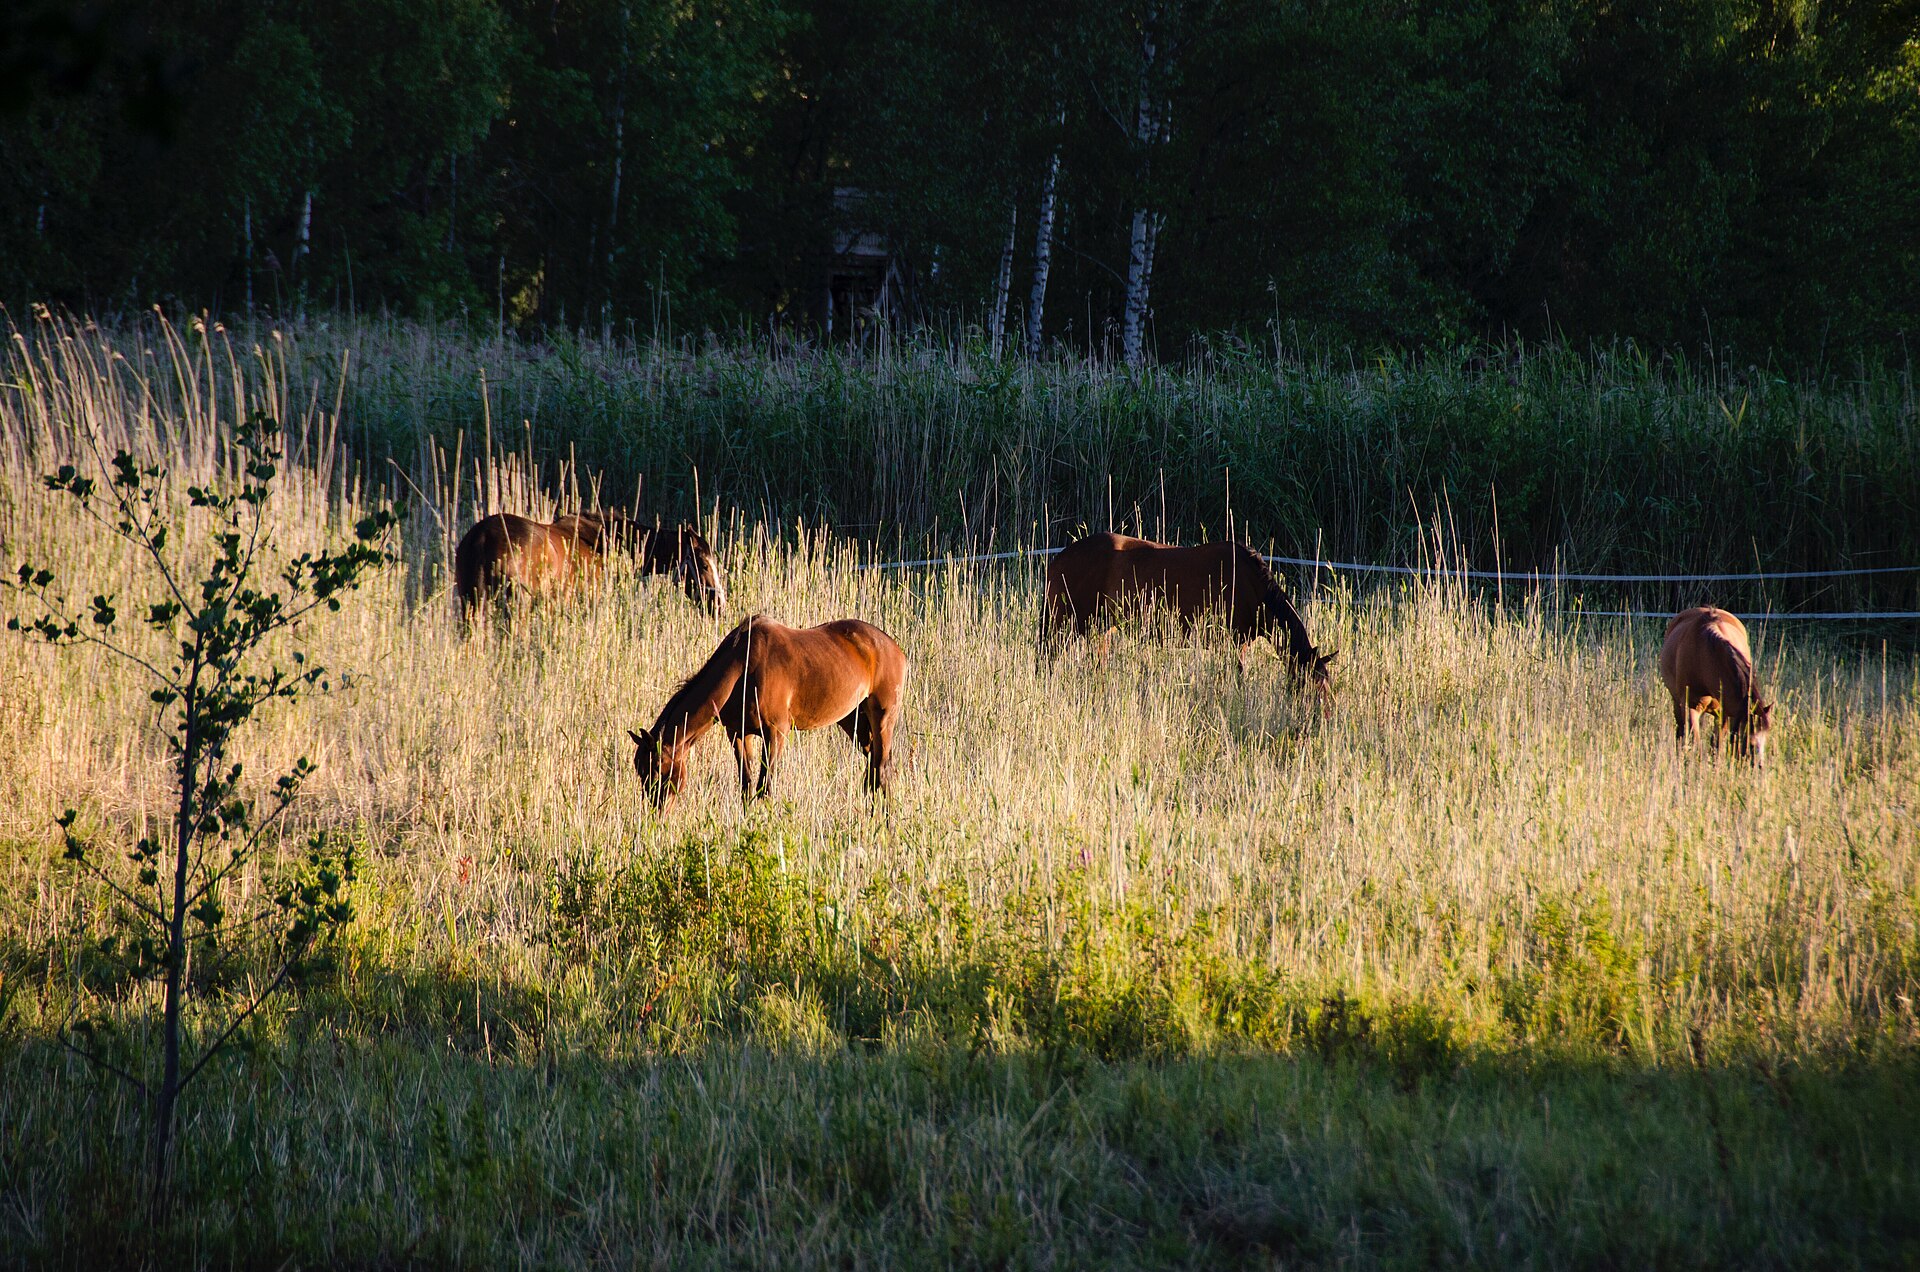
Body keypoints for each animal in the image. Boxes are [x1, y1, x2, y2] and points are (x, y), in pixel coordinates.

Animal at [628, 615, 908, 808]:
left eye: (659, 767)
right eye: (640, 771)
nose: (657, 810)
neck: (743, 667)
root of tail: (894, 647)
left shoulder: (776, 733)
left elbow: (766, 787)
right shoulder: (738, 733)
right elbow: (747, 785)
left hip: (882, 717)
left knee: (882, 770)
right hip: (854, 722)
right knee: (875, 770)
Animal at [1040, 532, 1338, 707]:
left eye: (1327, 684)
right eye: (1313, 687)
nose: (1322, 720)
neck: (1250, 583)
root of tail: (1060, 558)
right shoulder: (1232, 645)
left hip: (1099, 628)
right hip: (1065, 622)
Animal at [1658, 606, 1774, 765]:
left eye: (1766, 740)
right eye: (1749, 742)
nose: (1759, 766)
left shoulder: (1724, 713)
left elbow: (1716, 746)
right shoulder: (1690, 707)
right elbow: (1696, 745)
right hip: (1677, 702)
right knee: (1680, 732)